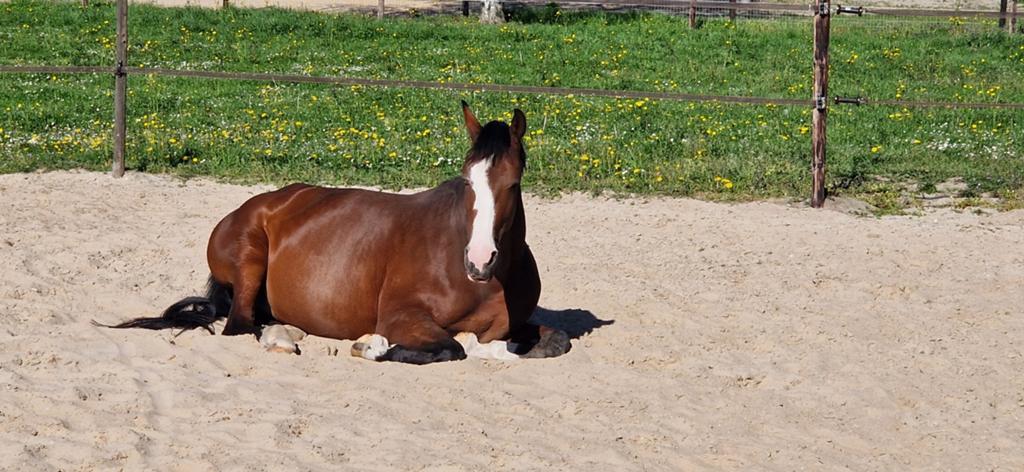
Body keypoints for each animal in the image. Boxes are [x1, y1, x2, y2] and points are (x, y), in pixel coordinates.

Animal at [101, 102, 569, 364]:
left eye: (512, 184)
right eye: (468, 182)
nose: (479, 260)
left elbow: (554, 340)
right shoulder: (401, 317)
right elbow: (451, 347)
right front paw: (373, 347)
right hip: (249, 260)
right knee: (241, 324)